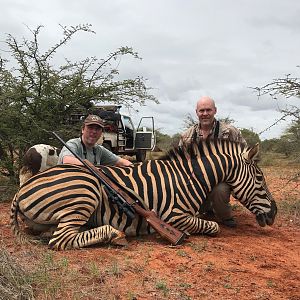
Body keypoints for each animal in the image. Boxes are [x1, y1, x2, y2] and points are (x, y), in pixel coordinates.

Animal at [9, 140, 276, 251]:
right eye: (260, 178)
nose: (274, 212)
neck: (189, 178)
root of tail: (22, 190)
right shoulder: (174, 216)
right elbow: (212, 226)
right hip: (86, 190)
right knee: (61, 239)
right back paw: (115, 235)